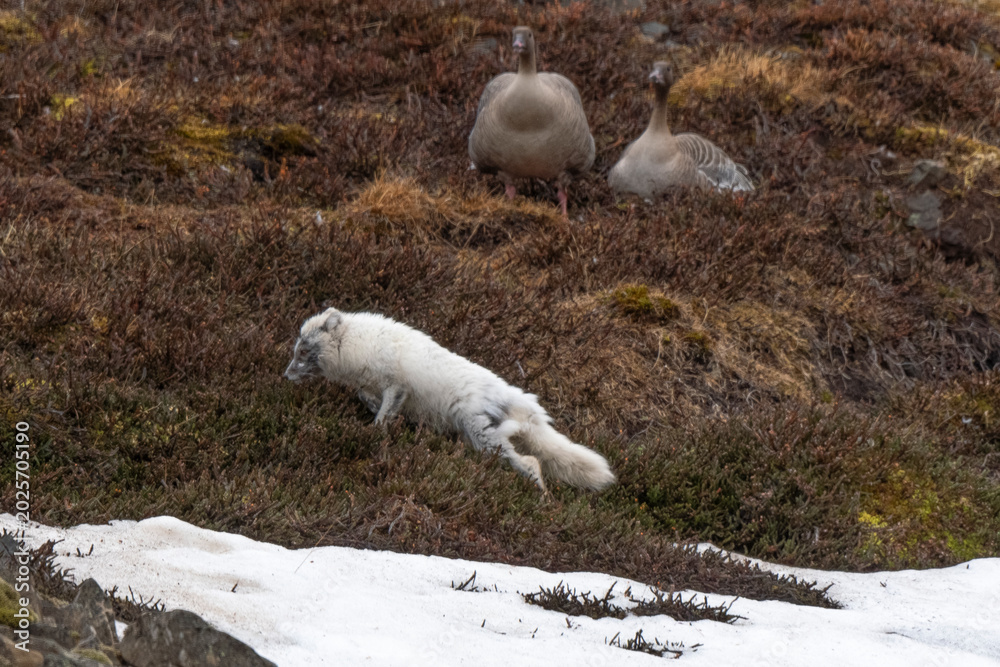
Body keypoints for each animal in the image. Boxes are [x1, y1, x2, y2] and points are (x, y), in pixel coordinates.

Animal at [284, 307, 616, 494]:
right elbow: (367, 397)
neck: (361, 345)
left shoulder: (396, 385)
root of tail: (520, 400)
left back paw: (542, 495)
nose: (285, 376)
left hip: (484, 437)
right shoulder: (375, 386)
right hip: (481, 440)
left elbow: (383, 414)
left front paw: (375, 433)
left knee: (531, 462)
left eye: (303, 351)